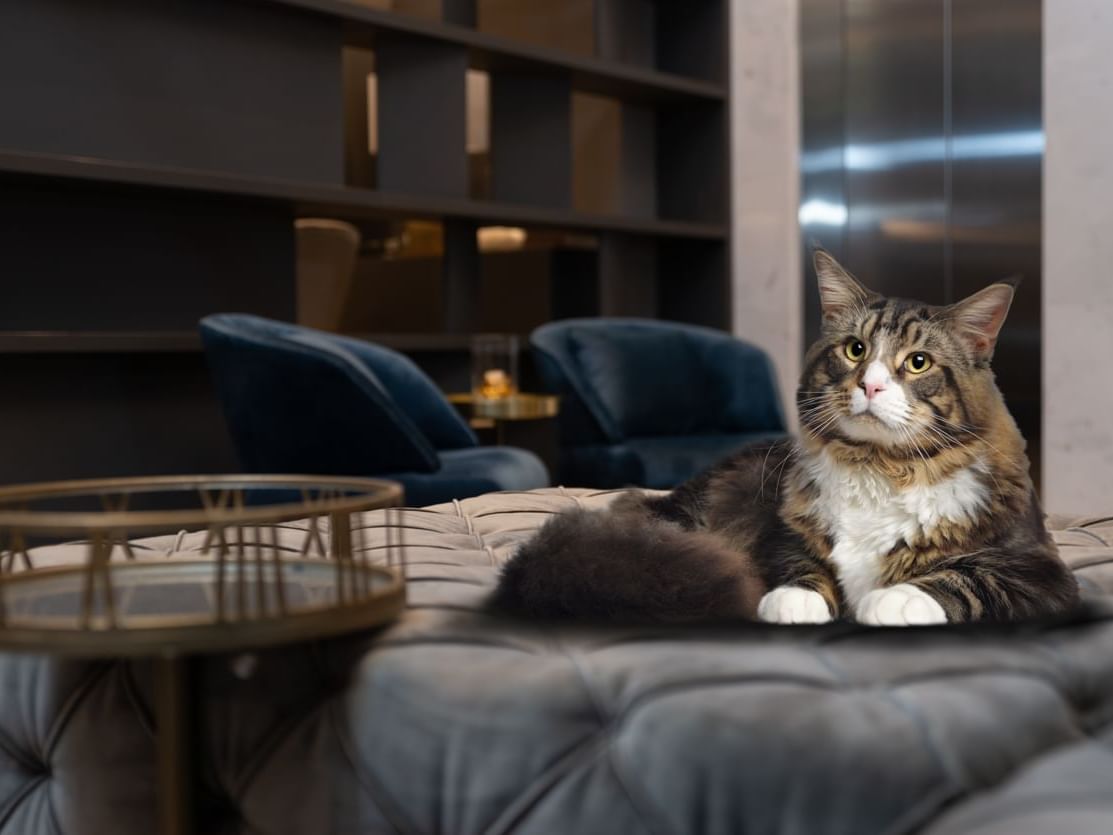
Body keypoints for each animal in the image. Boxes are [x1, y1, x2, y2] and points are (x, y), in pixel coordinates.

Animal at [491, 251, 1081, 623]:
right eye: (855, 350)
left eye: (917, 363)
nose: (870, 385)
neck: (877, 467)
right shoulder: (780, 533)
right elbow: (797, 565)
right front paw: (794, 602)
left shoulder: (1040, 572)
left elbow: (963, 578)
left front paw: (891, 601)